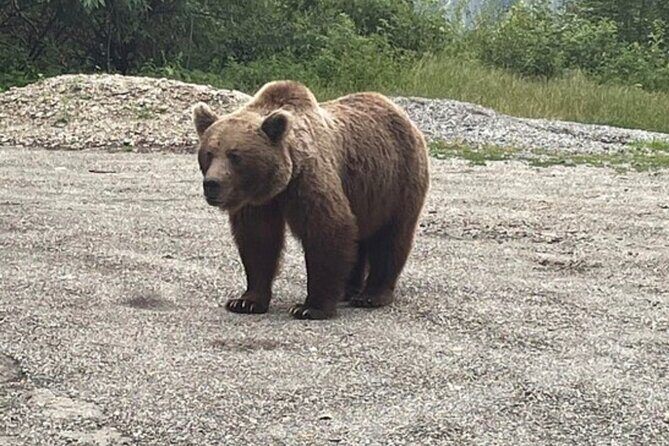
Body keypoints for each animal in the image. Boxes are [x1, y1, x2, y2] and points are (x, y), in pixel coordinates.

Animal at [192, 80, 429, 320]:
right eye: (209, 153)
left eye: (235, 156)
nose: (212, 183)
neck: (278, 184)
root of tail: (403, 115)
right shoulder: (258, 203)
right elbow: (258, 240)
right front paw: (245, 301)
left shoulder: (307, 181)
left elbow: (326, 229)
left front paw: (310, 307)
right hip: (364, 193)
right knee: (360, 236)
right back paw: (348, 289)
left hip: (396, 182)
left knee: (390, 236)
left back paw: (371, 295)